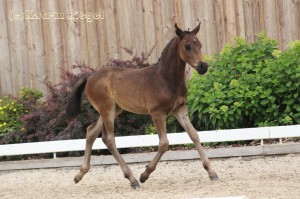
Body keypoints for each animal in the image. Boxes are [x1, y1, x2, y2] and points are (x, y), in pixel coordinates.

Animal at [66, 22, 218, 188]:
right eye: (187, 46)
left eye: (200, 45)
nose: (203, 66)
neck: (165, 79)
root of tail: (90, 77)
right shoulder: (157, 113)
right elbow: (164, 143)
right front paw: (144, 175)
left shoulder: (180, 109)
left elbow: (194, 135)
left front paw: (211, 172)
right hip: (107, 110)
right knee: (109, 139)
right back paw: (132, 179)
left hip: (112, 110)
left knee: (91, 132)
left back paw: (79, 175)